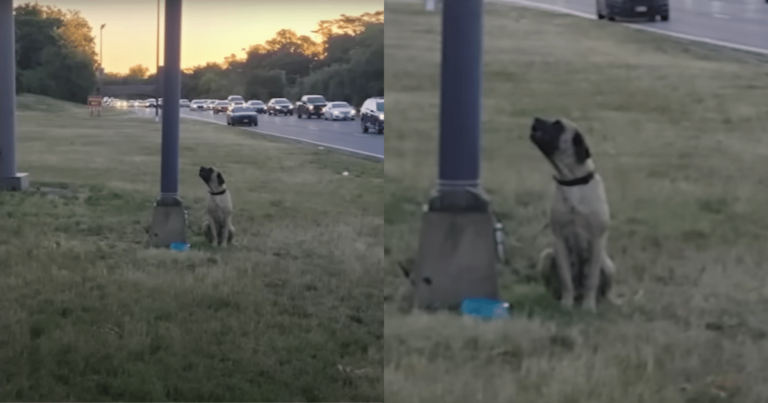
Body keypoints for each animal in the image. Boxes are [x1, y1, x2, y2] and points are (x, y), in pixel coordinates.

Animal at [528, 117, 616, 312]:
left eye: (558, 125)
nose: (535, 119)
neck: (572, 181)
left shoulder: (597, 240)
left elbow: (592, 279)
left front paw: (588, 307)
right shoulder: (559, 239)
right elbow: (566, 278)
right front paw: (566, 304)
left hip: (608, 266)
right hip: (547, 256)